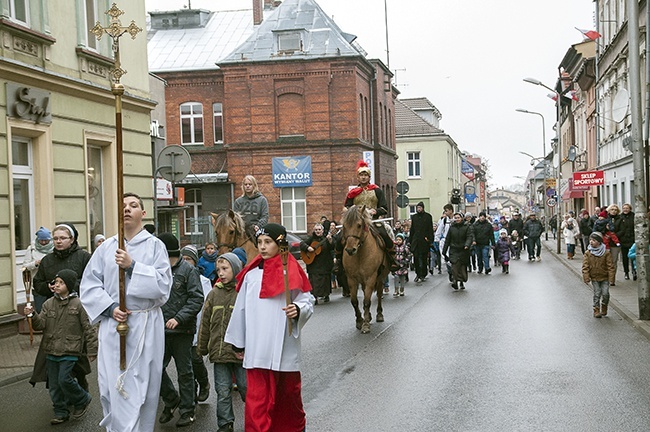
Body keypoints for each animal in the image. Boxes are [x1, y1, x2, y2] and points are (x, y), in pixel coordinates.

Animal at [342, 205, 388, 334]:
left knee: (379, 294)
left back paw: (379, 314)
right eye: (344, 226)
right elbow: (354, 301)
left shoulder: (371, 278)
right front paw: (359, 320)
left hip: (380, 277)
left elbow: (367, 301)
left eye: (359, 225)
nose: (350, 250)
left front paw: (366, 324)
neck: (359, 254)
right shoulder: (351, 279)